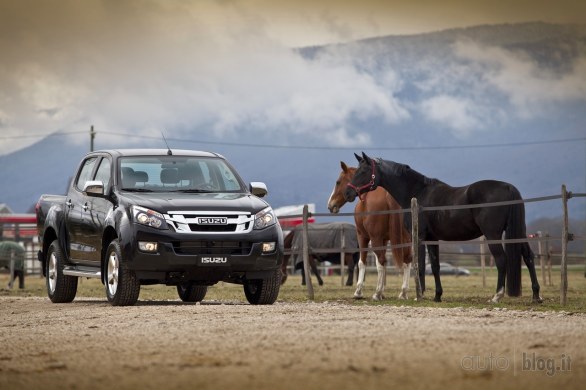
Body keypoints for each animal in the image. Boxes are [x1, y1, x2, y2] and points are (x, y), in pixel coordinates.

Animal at [324, 161, 410, 298]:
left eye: (338, 182)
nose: (330, 205)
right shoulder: (384, 239)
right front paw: (382, 290)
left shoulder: (363, 236)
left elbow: (362, 262)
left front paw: (359, 291)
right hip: (404, 237)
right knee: (407, 260)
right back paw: (403, 292)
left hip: (374, 239)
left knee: (381, 261)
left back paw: (377, 293)